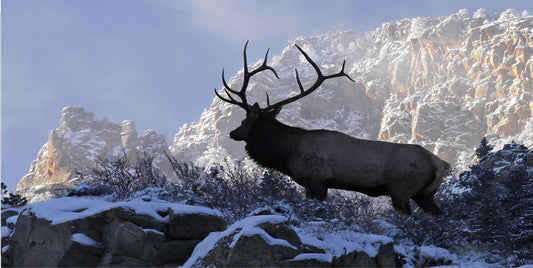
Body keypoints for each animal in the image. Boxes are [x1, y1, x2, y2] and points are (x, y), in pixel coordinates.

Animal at [214, 40, 450, 215]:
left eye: (244, 120)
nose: (232, 133)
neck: (287, 151)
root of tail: (440, 163)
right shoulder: (311, 184)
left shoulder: (317, 179)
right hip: (425, 193)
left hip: (400, 189)